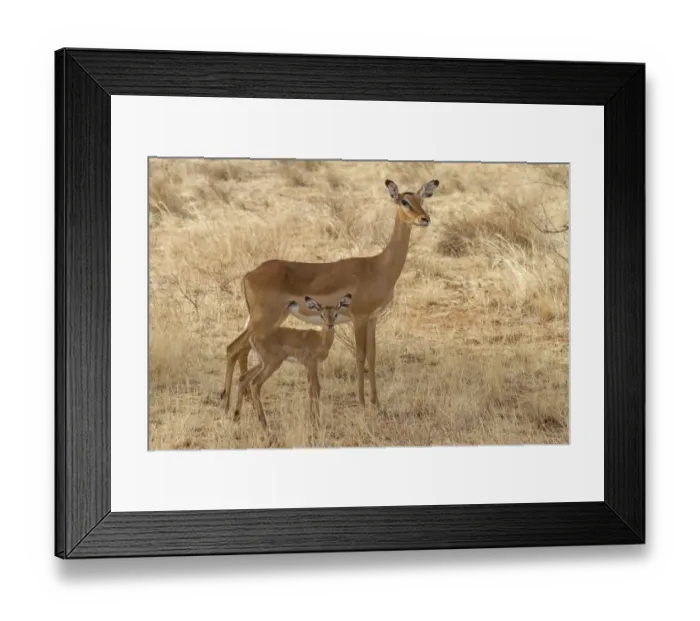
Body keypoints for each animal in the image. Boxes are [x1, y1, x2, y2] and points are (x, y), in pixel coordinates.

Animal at [222, 178, 440, 411]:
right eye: (404, 201)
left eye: (421, 199)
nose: (425, 219)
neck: (378, 267)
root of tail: (249, 274)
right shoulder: (359, 317)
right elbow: (360, 355)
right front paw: (362, 402)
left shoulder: (372, 319)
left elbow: (372, 356)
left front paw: (376, 402)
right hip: (263, 319)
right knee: (233, 348)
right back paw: (226, 403)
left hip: (270, 320)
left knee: (241, 350)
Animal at [233, 294, 352, 428]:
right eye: (322, 315)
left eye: (335, 314)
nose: (330, 325)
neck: (321, 340)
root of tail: (252, 337)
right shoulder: (312, 364)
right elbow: (316, 388)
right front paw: (317, 421)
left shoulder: (308, 366)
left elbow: (310, 389)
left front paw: (311, 418)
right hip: (272, 363)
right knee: (255, 383)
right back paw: (264, 422)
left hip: (262, 363)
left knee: (244, 377)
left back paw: (236, 416)